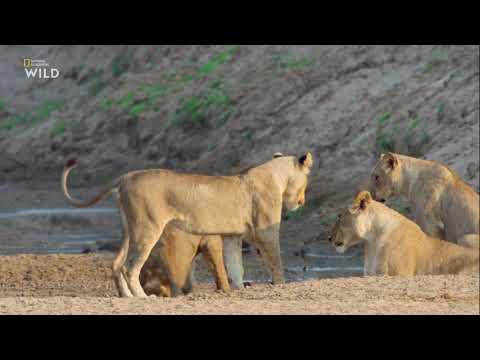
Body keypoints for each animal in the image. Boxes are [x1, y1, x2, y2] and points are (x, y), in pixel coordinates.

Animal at [62, 152, 314, 298]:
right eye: (307, 181)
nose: (302, 202)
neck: (275, 174)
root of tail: (125, 176)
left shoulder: (232, 236)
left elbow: (235, 267)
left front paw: (239, 289)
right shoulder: (266, 231)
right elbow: (276, 262)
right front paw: (281, 285)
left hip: (129, 230)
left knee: (116, 264)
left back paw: (127, 297)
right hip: (147, 227)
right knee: (129, 267)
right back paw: (142, 297)